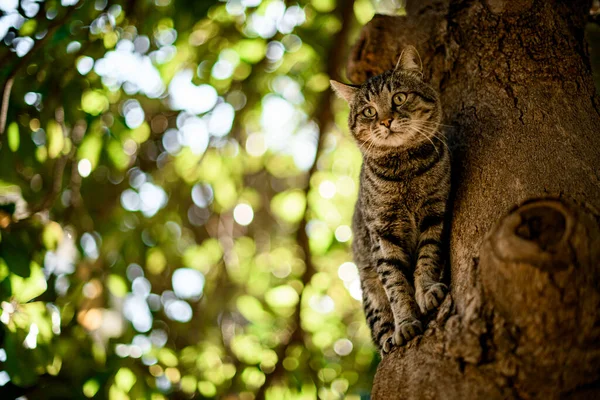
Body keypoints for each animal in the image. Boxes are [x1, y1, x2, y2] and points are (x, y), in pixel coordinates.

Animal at [328, 45, 450, 354]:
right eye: (369, 111)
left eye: (399, 97)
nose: (385, 120)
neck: (404, 169)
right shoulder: (382, 234)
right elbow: (395, 284)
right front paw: (404, 323)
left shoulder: (435, 213)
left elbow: (427, 258)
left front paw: (426, 290)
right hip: (368, 287)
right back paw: (387, 338)